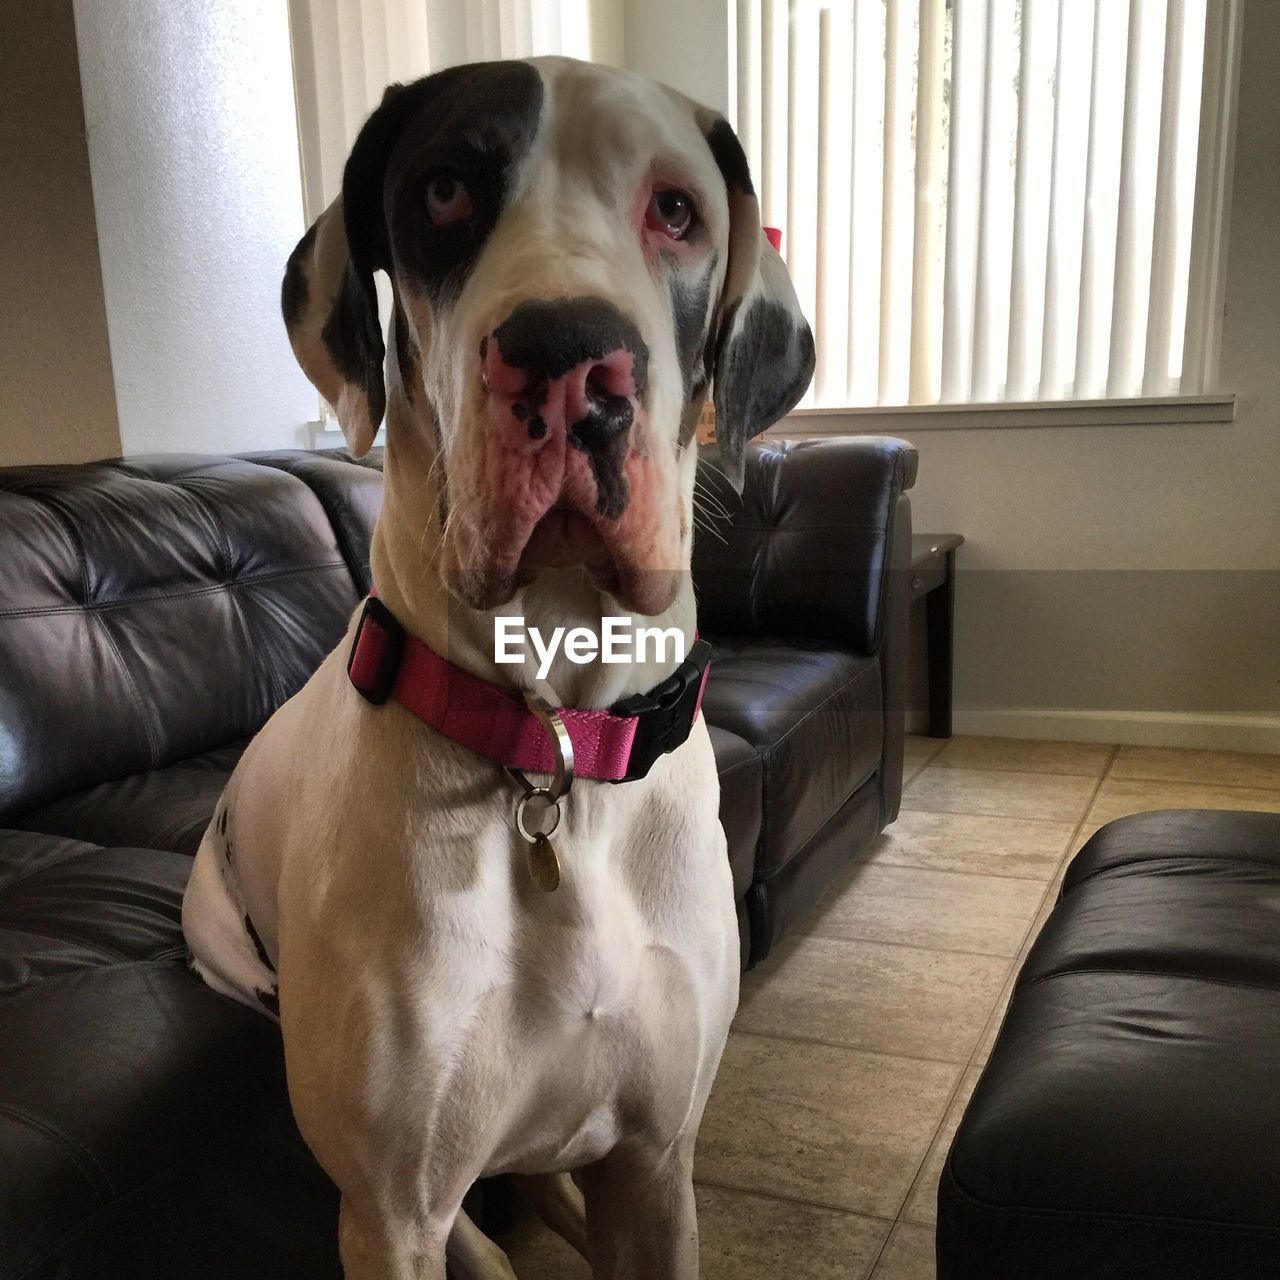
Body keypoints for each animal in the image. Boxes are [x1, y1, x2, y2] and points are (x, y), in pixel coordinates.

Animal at [183, 57, 808, 1280]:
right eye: (442, 191)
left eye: (675, 211)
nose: (570, 361)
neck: (552, 743)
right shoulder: (391, 1212)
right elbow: (440, 1218)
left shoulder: (655, 1167)